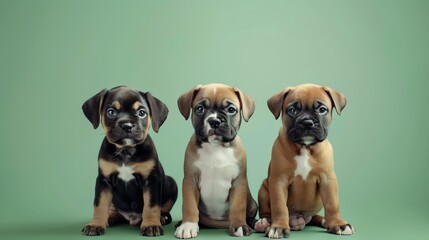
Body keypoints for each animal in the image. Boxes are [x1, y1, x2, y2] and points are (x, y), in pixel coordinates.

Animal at [81, 86, 176, 236]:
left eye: (142, 113)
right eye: (111, 112)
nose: (127, 125)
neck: (125, 151)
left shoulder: (151, 180)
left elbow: (151, 205)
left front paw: (151, 225)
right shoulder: (103, 181)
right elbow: (99, 205)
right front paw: (95, 224)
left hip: (172, 182)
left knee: (162, 209)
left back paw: (161, 218)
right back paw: (109, 218)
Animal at [174, 84, 258, 238]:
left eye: (231, 110)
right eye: (199, 109)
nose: (214, 121)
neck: (216, 147)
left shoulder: (239, 182)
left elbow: (238, 206)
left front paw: (239, 225)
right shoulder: (190, 180)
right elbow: (189, 205)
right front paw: (188, 225)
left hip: (252, 203)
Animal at [254, 83, 354, 237]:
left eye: (322, 109)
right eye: (292, 110)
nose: (307, 122)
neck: (305, 147)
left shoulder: (328, 179)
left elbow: (332, 203)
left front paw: (338, 224)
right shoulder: (278, 180)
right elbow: (279, 206)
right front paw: (278, 227)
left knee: (315, 217)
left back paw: (325, 221)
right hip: (264, 188)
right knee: (267, 212)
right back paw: (264, 223)